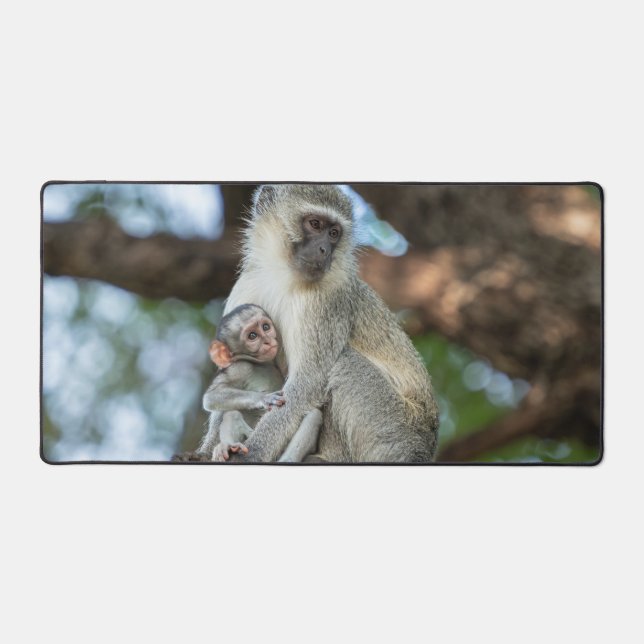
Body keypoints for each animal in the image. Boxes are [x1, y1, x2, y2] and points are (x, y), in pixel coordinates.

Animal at [201, 303, 322, 462]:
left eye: (265, 327)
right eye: (252, 336)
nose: (267, 341)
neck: (260, 364)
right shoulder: (240, 368)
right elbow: (211, 397)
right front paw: (265, 398)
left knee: (314, 415)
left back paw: (288, 459)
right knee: (231, 415)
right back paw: (227, 447)